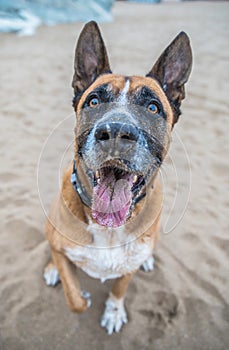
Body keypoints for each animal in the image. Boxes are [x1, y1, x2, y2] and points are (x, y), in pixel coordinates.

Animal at [43, 21, 191, 334]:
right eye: (94, 101)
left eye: (152, 107)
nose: (116, 131)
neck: (109, 227)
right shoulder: (61, 249)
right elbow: (74, 299)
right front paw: (80, 293)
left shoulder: (127, 269)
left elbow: (119, 288)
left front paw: (113, 312)